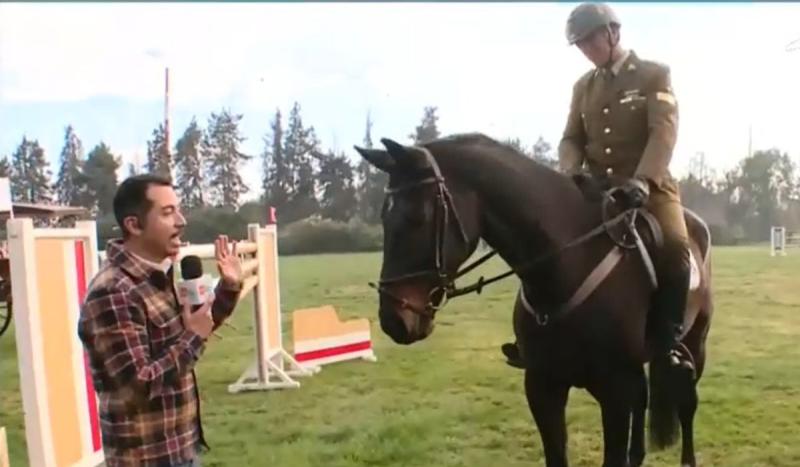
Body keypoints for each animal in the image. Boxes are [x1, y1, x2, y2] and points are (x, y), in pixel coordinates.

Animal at [354, 133, 713, 467]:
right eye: (384, 217)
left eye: (418, 216)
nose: (394, 319)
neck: (567, 264)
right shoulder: (543, 387)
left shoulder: (615, 392)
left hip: (694, 344)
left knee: (687, 403)